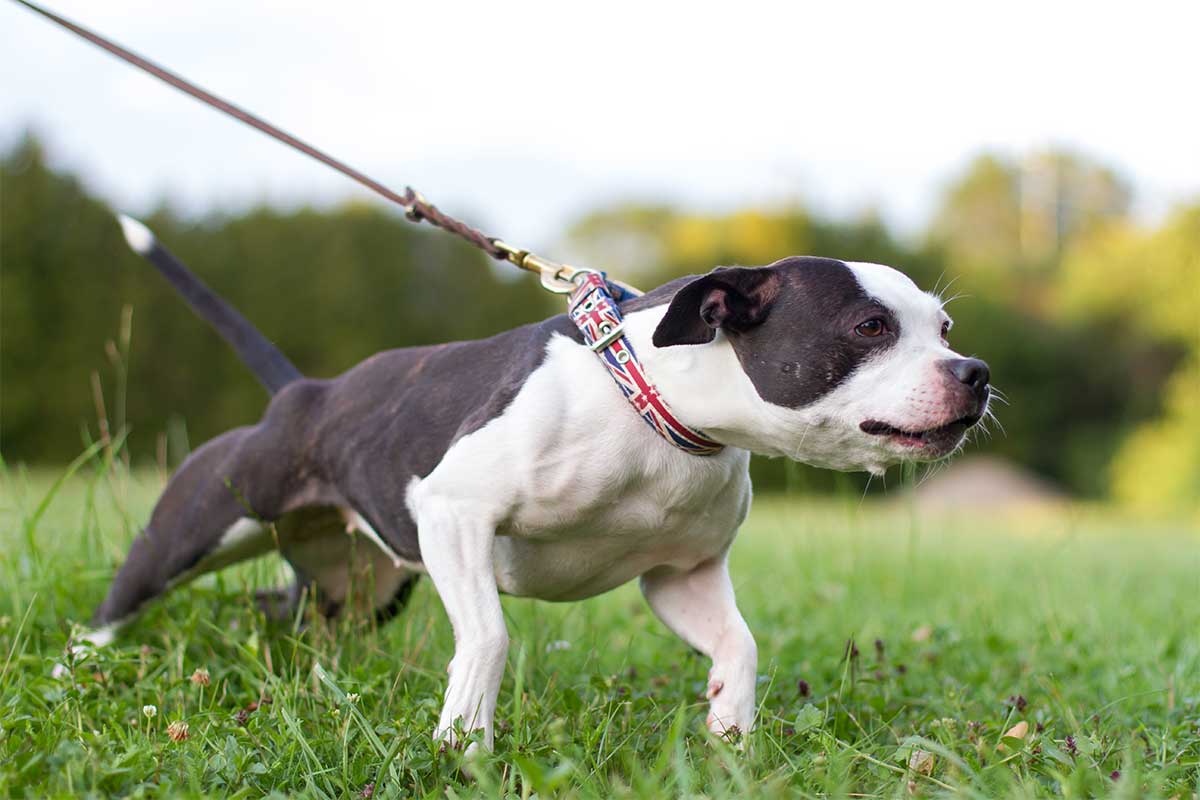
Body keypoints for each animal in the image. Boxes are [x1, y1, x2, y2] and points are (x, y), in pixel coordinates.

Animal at [82, 214, 993, 753]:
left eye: (946, 328)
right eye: (869, 327)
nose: (976, 372)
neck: (646, 399)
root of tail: (301, 393)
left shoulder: (683, 575)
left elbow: (741, 644)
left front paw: (729, 732)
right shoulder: (454, 515)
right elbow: (487, 637)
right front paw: (464, 743)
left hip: (358, 586)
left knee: (282, 605)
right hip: (199, 524)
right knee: (121, 598)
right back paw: (79, 669)